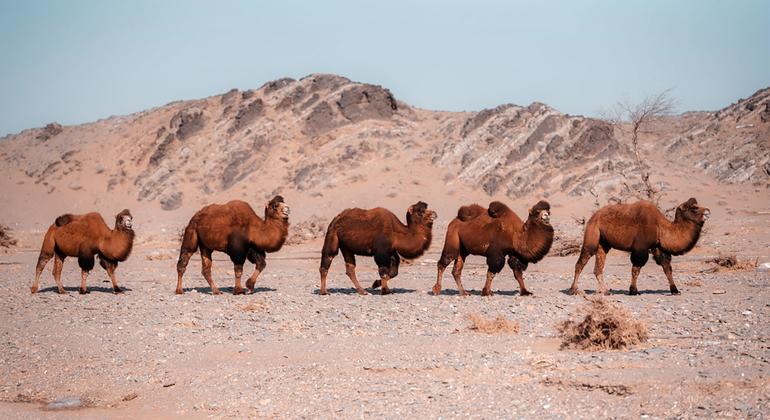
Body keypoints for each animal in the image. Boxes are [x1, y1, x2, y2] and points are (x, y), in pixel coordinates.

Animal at [568, 197, 708, 296]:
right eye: (693, 208)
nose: (708, 211)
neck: (660, 227)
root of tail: (593, 217)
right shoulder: (641, 248)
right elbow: (636, 269)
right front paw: (633, 291)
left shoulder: (657, 247)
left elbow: (667, 268)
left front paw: (675, 290)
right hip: (592, 235)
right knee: (581, 262)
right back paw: (573, 290)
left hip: (604, 244)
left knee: (598, 268)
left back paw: (606, 291)